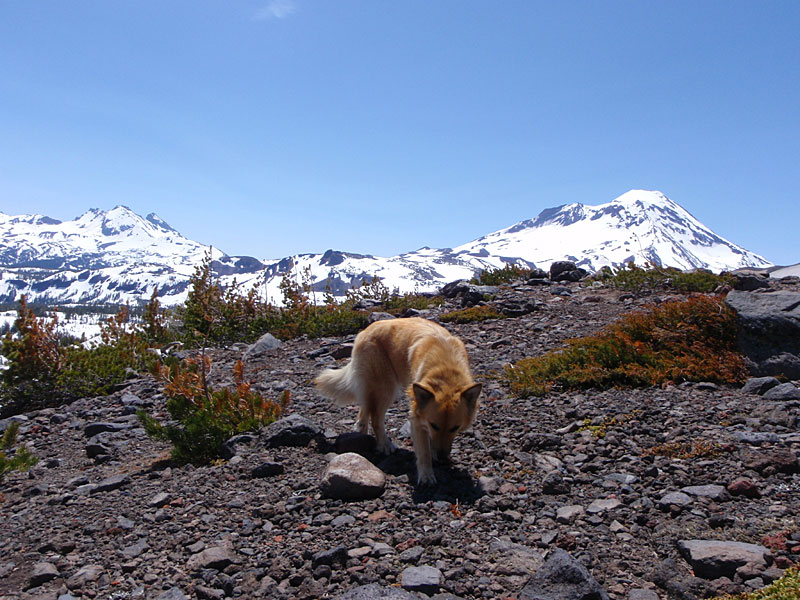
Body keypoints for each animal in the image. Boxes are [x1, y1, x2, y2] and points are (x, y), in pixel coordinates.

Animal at [314, 316, 482, 486]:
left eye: (455, 428)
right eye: (434, 425)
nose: (442, 457)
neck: (446, 373)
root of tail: (364, 332)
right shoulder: (417, 418)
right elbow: (424, 452)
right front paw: (426, 475)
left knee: (364, 411)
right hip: (386, 388)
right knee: (376, 419)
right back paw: (384, 445)